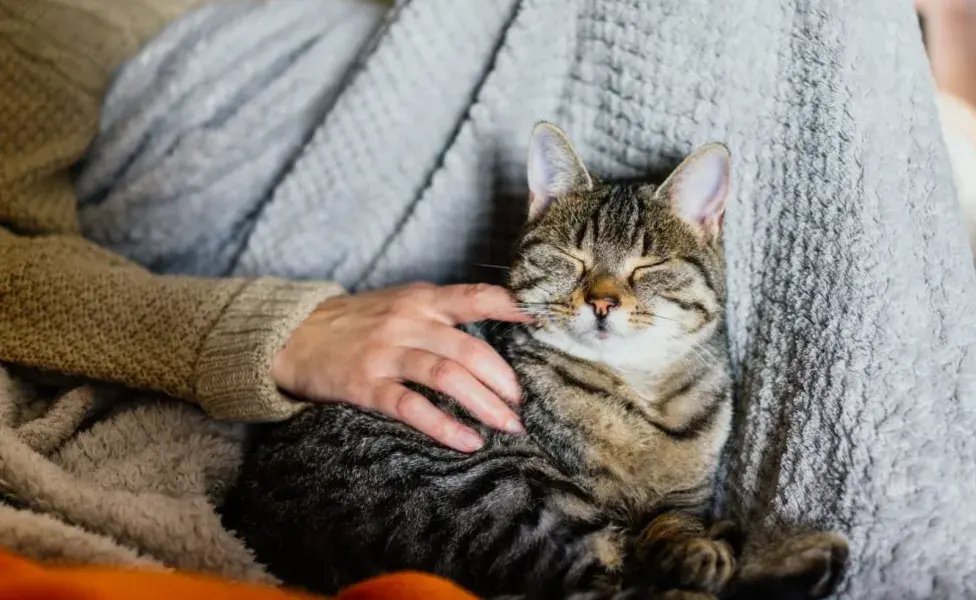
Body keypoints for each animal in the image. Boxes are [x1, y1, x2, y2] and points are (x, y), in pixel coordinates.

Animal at [221, 123, 848, 600]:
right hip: (499, 484)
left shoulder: (683, 499)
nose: (602, 301)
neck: (643, 394)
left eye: (647, 266)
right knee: (614, 585)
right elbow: (652, 555)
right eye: (573, 258)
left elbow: (672, 525)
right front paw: (703, 555)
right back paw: (804, 558)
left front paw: (694, 543)